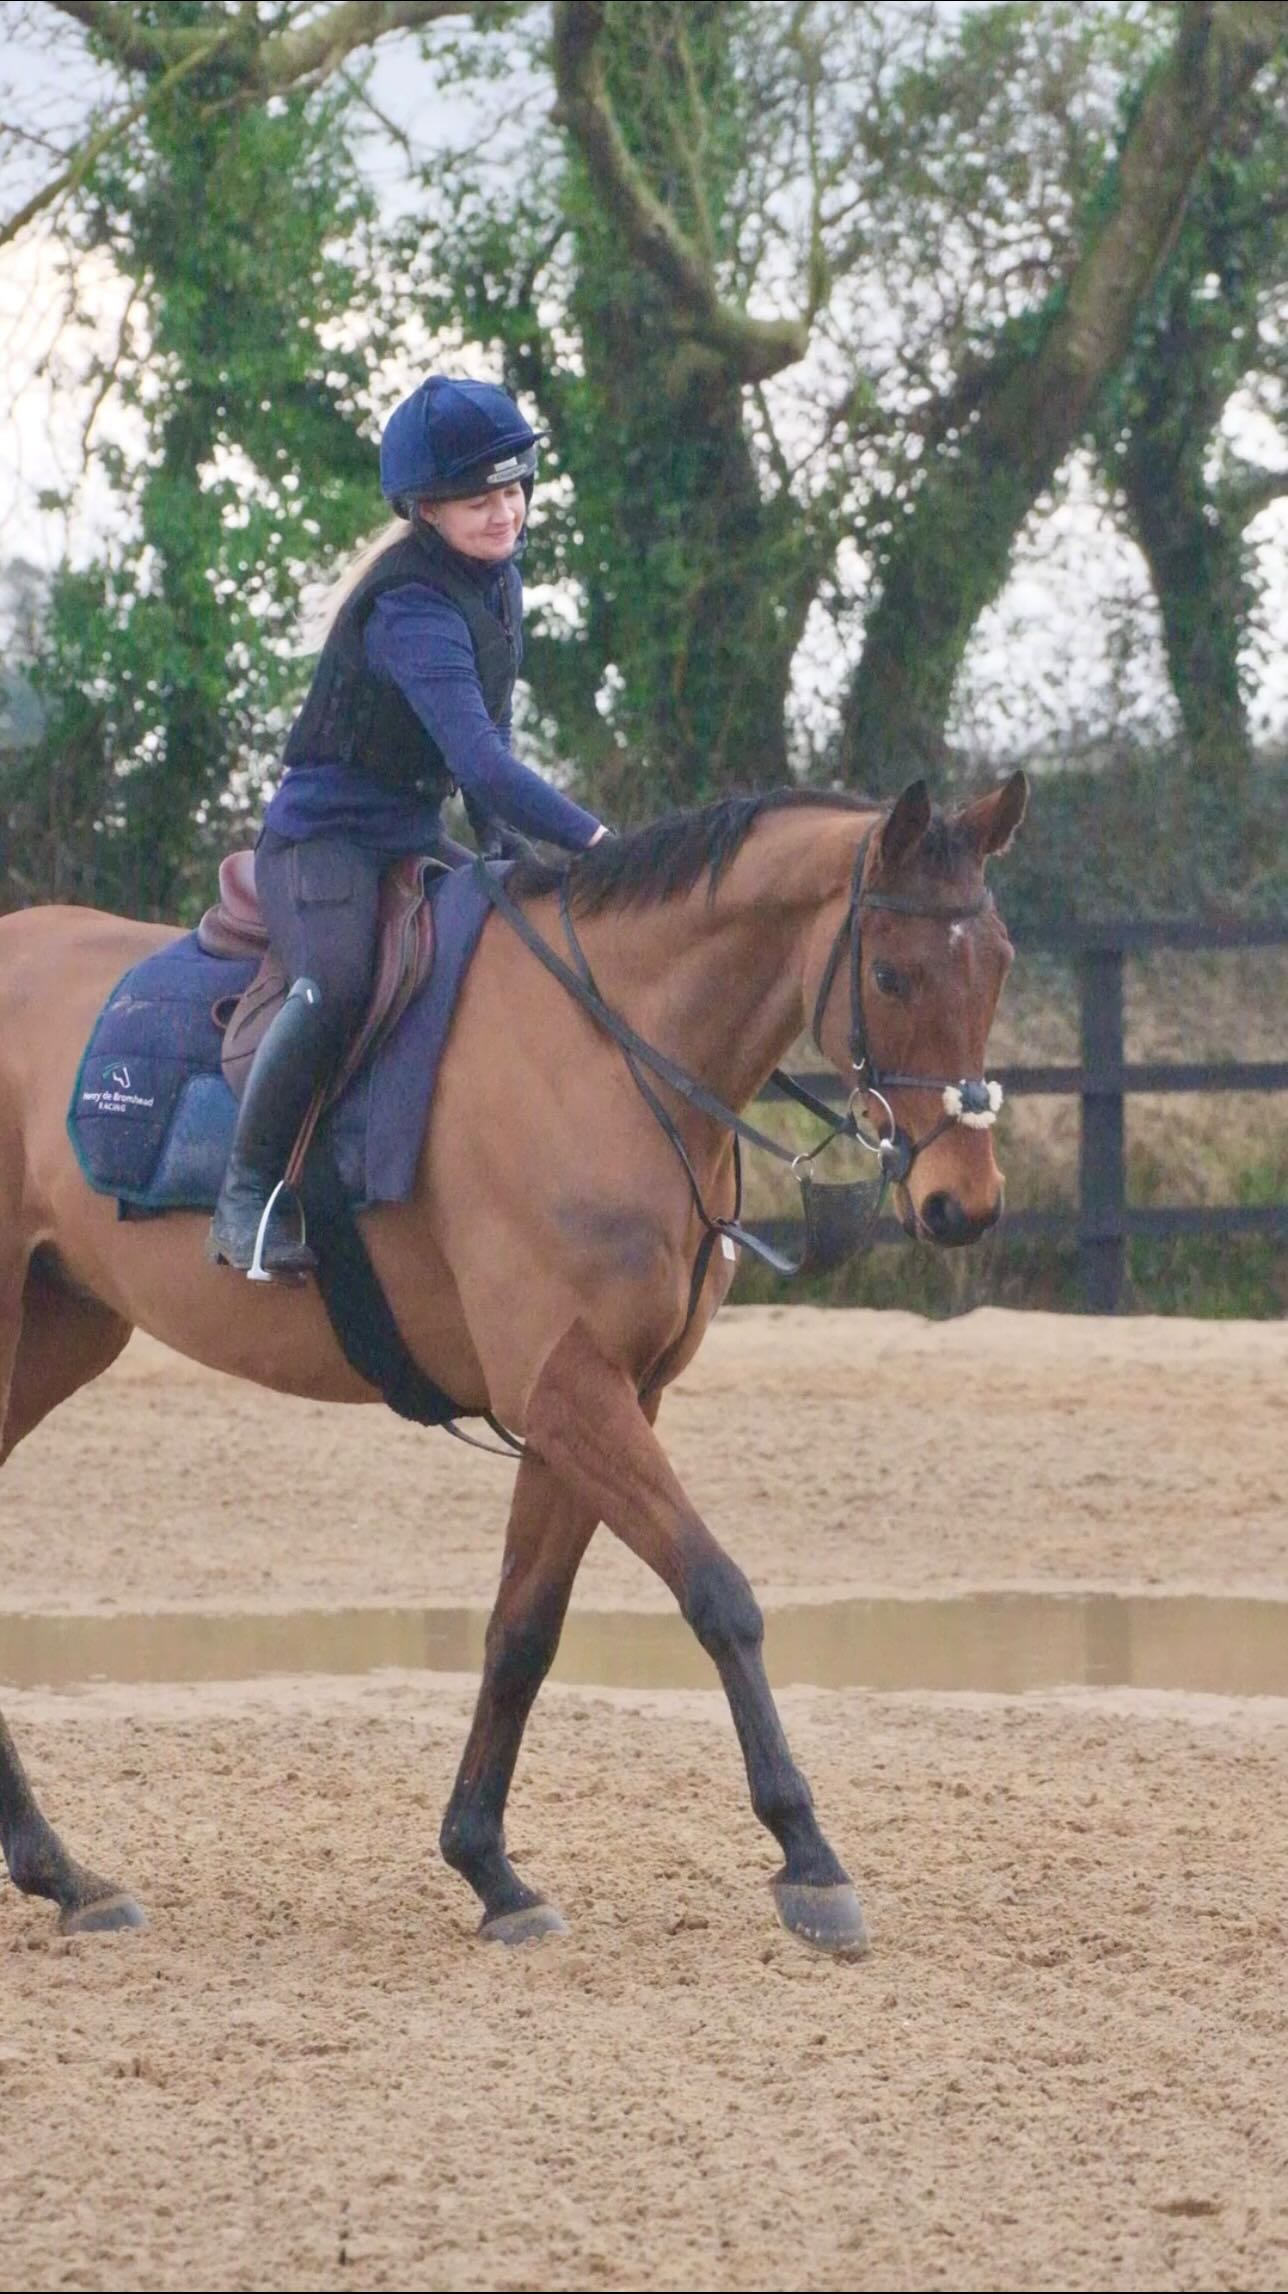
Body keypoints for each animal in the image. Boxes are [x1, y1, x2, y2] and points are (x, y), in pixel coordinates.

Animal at [0, 770, 1026, 1959]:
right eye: (894, 971)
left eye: (998, 963)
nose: (963, 1205)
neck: (609, 1051)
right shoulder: (570, 1388)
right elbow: (718, 1593)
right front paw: (809, 1856)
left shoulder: (602, 1398)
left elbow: (523, 1631)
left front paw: (489, 1867)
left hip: (58, 1332)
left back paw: (67, 1876)